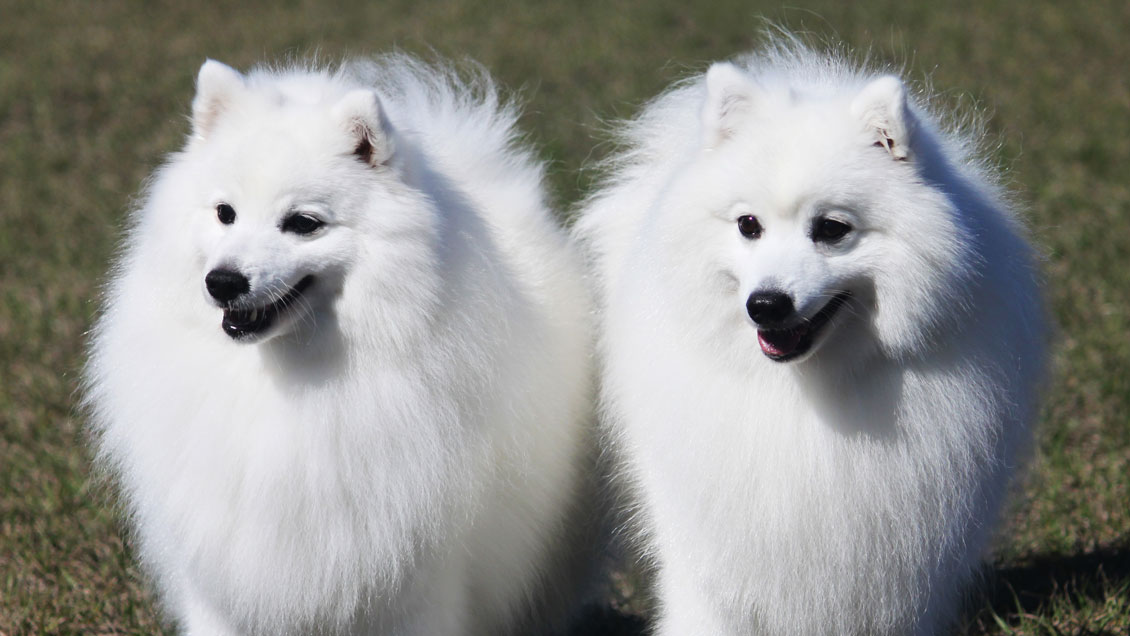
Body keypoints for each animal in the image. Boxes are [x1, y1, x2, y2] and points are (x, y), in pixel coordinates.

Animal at [84, 55, 601, 636]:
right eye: (224, 213)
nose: (222, 281)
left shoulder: (414, 585)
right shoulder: (222, 577)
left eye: (303, 224)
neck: (286, 376)